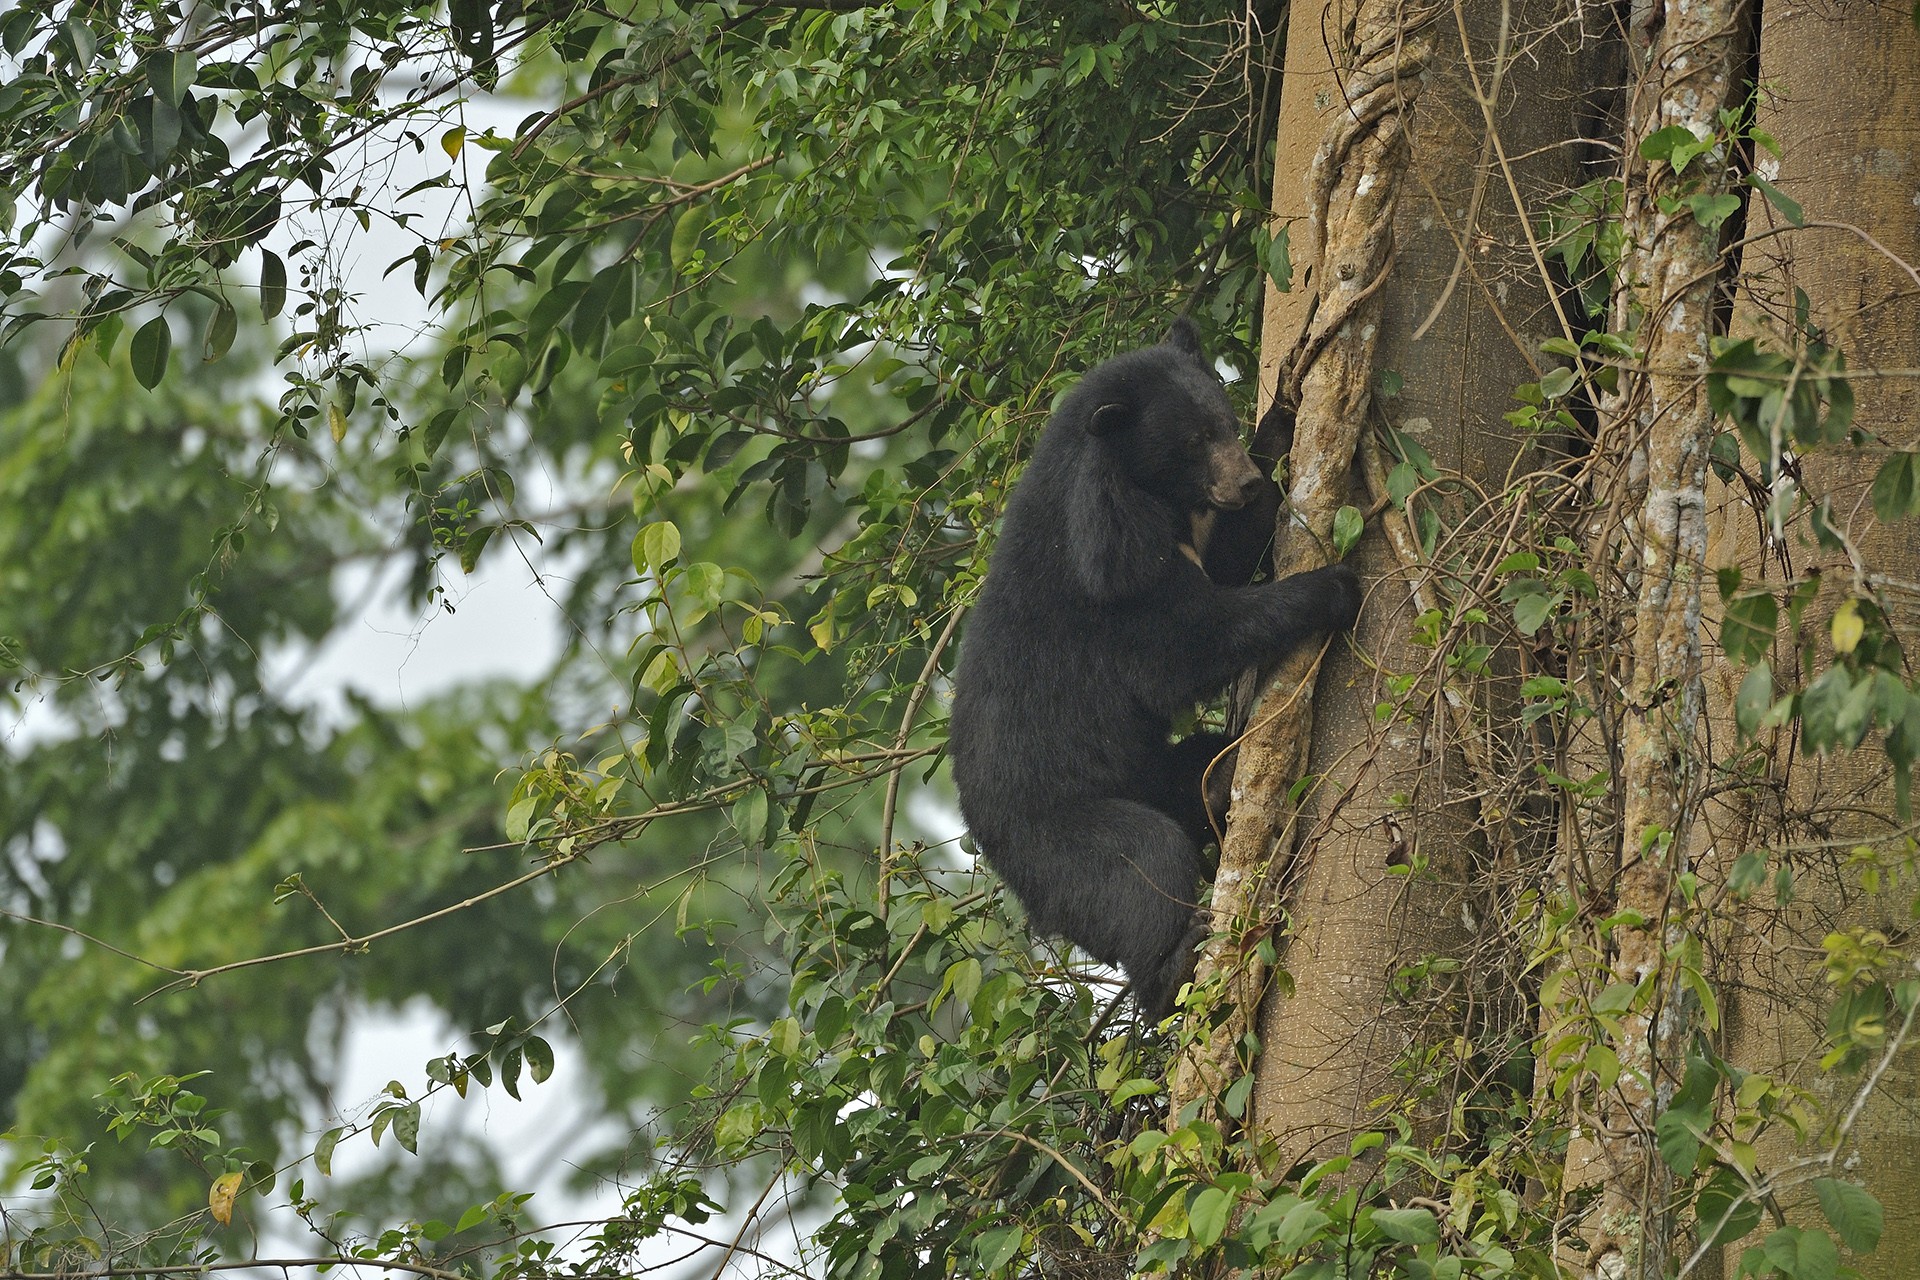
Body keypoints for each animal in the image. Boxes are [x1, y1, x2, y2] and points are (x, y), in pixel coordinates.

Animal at [948, 319, 1361, 1020]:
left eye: (1224, 422)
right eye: (1192, 442)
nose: (1244, 483)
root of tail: (990, 845)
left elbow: (1227, 558)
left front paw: (1286, 405)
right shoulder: (1112, 577)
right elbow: (1184, 644)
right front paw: (1333, 585)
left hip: (1147, 770)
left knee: (1196, 771)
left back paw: (1222, 782)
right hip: (1059, 832)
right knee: (1138, 864)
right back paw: (1176, 964)